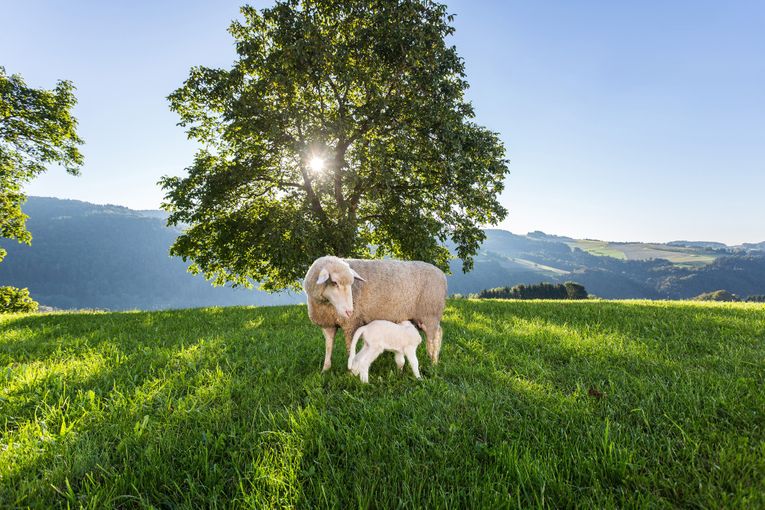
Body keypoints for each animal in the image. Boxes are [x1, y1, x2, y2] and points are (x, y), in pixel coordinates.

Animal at [303, 256, 447, 372]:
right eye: (334, 283)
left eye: (351, 284)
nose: (350, 311)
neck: (326, 304)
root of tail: (442, 274)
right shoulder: (328, 325)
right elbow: (328, 347)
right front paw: (325, 369)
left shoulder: (351, 323)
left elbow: (350, 348)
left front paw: (350, 372)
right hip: (421, 318)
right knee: (439, 332)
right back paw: (435, 358)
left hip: (430, 313)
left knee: (433, 338)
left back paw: (433, 362)